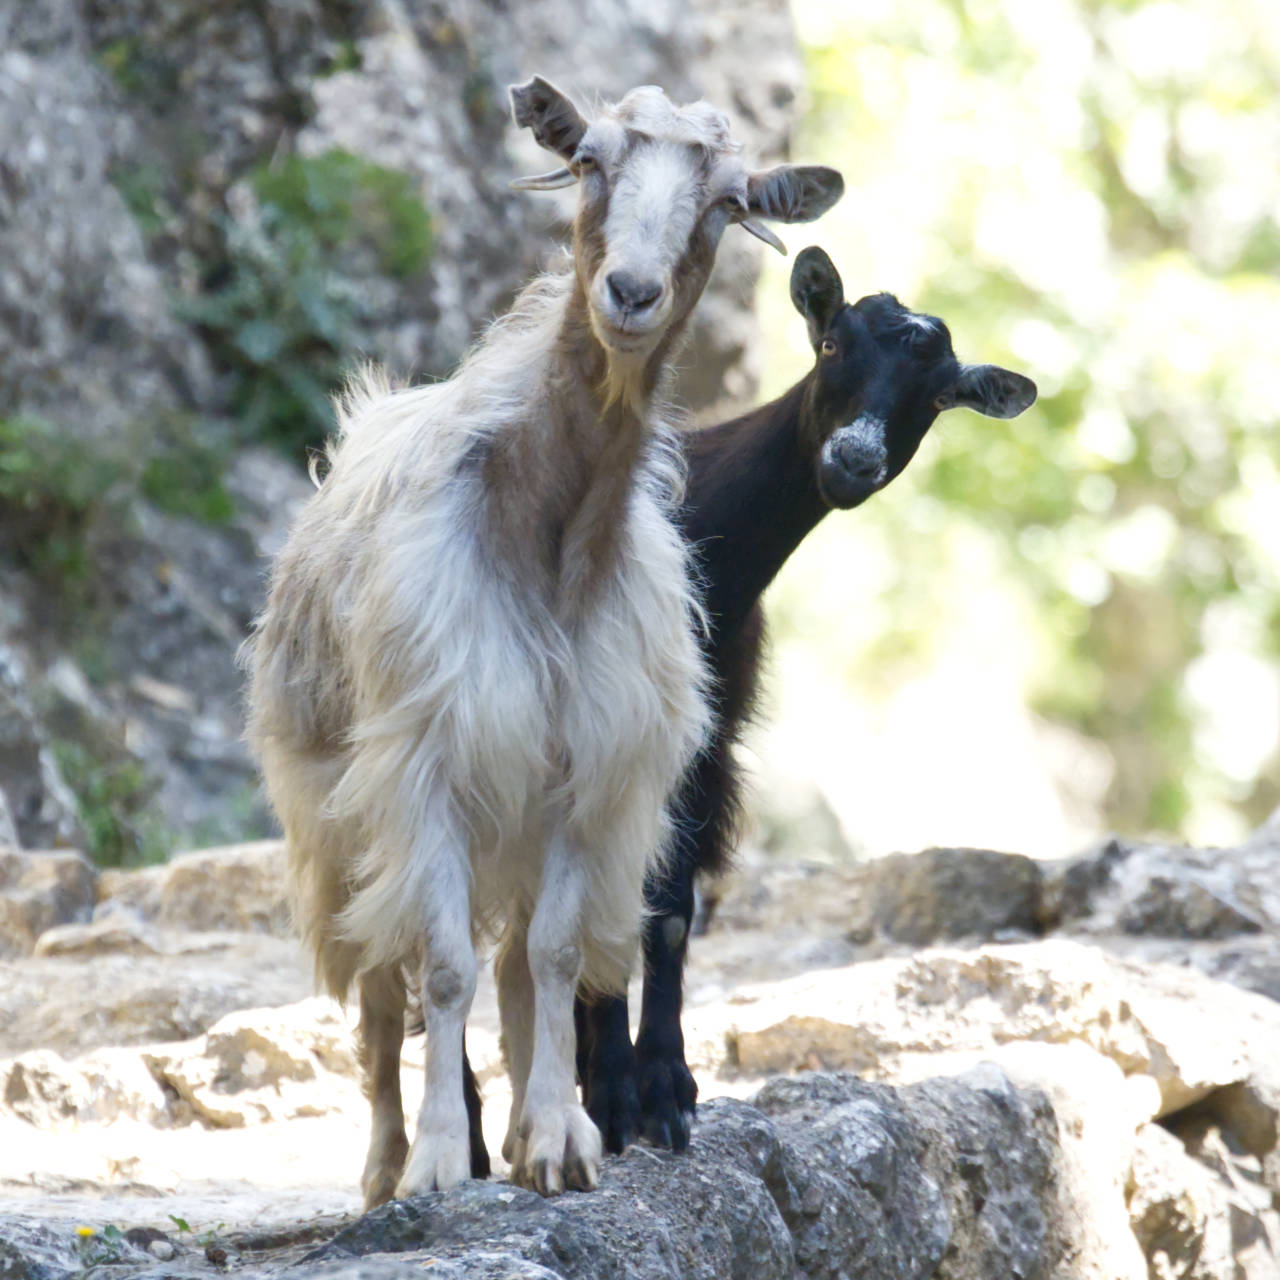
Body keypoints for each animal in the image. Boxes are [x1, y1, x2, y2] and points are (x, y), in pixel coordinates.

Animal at [244, 78, 844, 1209]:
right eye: (589, 162)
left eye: (724, 202)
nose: (631, 292)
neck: (551, 529)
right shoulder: (424, 761)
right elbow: (438, 965)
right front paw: (440, 1160)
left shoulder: (589, 768)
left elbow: (560, 957)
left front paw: (563, 1141)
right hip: (334, 811)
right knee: (378, 980)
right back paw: (386, 1161)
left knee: (520, 966)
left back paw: (528, 1121)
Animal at [456, 245, 1038, 1163]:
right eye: (832, 343)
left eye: (941, 393)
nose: (854, 459)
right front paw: (615, 1095)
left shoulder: (706, 742)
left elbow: (667, 911)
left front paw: (661, 1089)